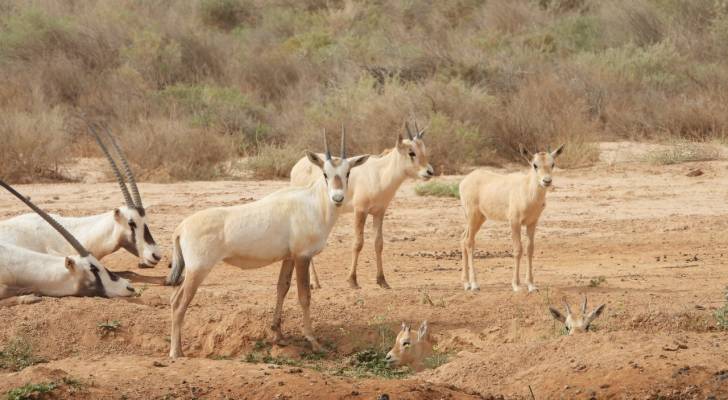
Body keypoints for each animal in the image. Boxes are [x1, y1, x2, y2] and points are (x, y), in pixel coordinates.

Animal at [166, 130, 370, 358]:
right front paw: (313, 341)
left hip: (193, 271)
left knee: (174, 299)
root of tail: (181, 228)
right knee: (179, 304)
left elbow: (282, 288)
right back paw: (175, 352)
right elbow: (304, 296)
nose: (338, 198)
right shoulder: (302, 256)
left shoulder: (289, 258)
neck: (312, 203)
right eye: (325, 174)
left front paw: (278, 335)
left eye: (347, 173)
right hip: (198, 270)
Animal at [290, 120, 432, 290]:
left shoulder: (379, 212)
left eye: (423, 149)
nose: (429, 172)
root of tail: (297, 165)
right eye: (411, 152)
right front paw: (352, 280)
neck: (379, 173)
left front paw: (382, 280)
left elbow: (379, 243)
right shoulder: (360, 210)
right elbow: (358, 243)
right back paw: (314, 283)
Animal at [460, 145, 564, 292]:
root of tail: (465, 181)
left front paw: (531, 285)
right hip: (473, 216)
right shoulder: (514, 222)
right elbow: (518, 249)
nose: (547, 181)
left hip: (479, 218)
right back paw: (474, 284)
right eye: (535, 165)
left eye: (552, 164)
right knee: (469, 242)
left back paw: (466, 283)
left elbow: (530, 249)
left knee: (463, 239)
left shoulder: (532, 223)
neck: (527, 190)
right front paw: (516, 285)